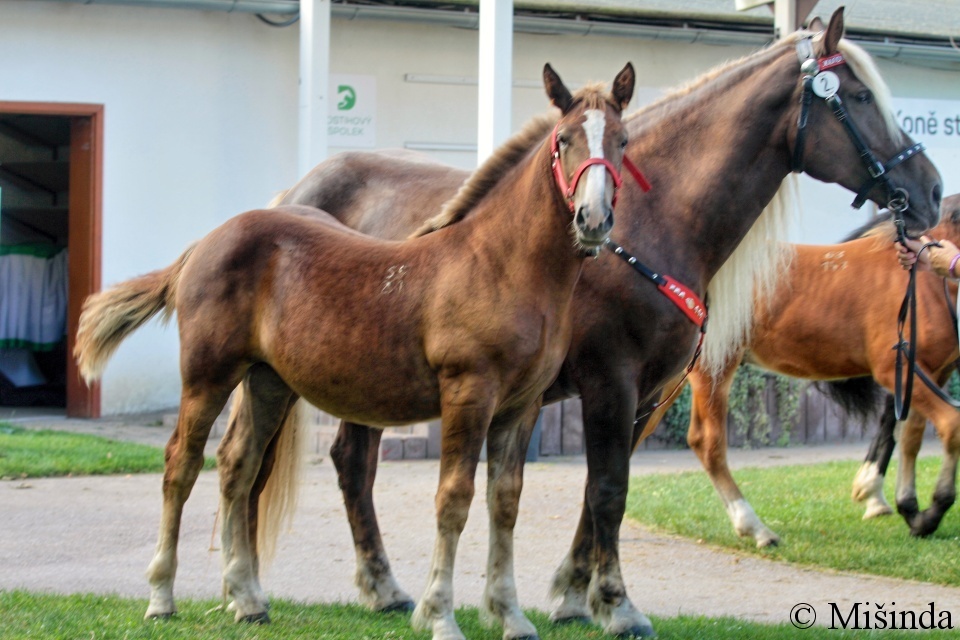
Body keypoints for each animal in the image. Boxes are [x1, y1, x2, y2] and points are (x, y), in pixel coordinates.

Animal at [640, 191, 960, 552]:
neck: (917, 276)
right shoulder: (895, 370)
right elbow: (950, 426)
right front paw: (932, 509)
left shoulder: (931, 373)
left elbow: (909, 436)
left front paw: (911, 510)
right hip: (713, 370)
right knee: (706, 442)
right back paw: (755, 528)